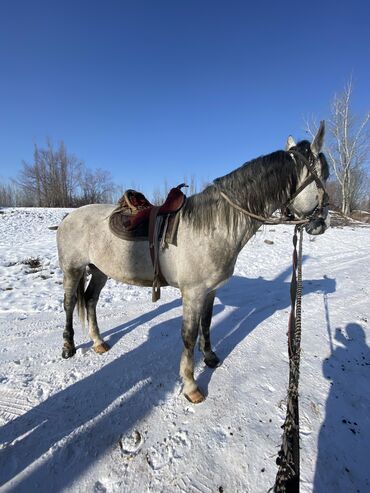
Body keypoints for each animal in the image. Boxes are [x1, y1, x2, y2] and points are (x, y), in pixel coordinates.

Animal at [57, 121, 330, 402]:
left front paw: (210, 358)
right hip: (73, 269)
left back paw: (99, 342)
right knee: (69, 304)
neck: (213, 226)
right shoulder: (193, 293)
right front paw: (191, 386)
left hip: (100, 271)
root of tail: (69, 217)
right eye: (326, 174)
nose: (320, 224)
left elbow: (206, 324)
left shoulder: (210, 290)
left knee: (90, 300)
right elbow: (188, 335)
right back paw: (68, 347)